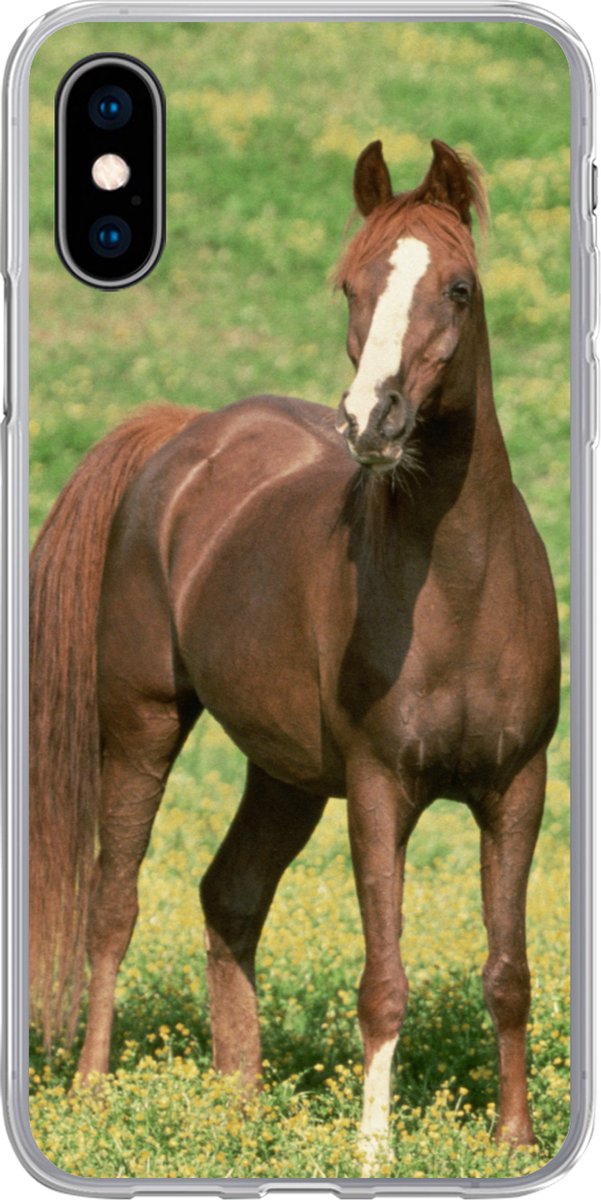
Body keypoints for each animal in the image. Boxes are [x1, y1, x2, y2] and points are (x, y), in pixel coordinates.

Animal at [30, 137, 560, 1167]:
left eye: (460, 288)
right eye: (349, 285)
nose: (370, 422)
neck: (461, 593)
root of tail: (184, 435)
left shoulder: (517, 787)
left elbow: (507, 969)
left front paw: (516, 1143)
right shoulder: (380, 790)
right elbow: (383, 979)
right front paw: (374, 1153)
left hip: (285, 774)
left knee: (229, 896)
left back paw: (239, 1106)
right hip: (143, 724)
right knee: (114, 905)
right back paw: (93, 1092)